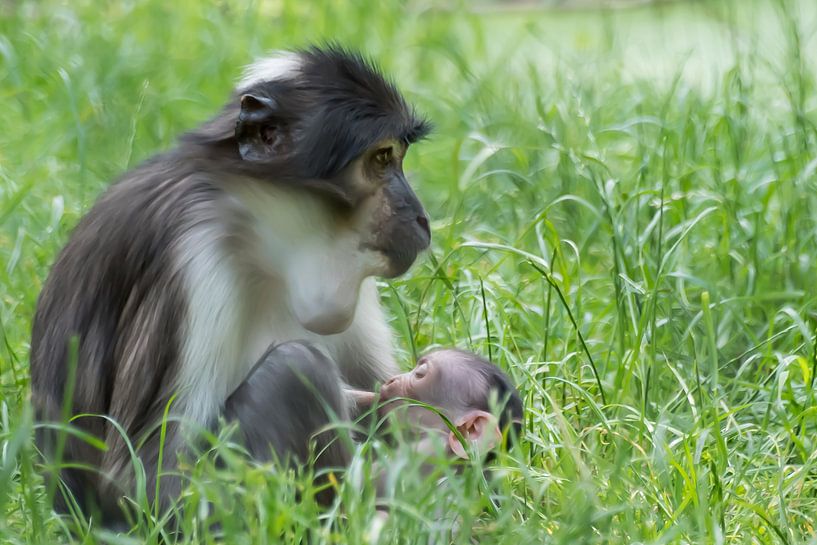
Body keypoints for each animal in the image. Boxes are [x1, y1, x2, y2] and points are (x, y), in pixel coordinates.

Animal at [29, 46, 430, 524]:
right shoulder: (195, 254)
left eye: (398, 157)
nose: (421, 218)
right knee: (294, 369)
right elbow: (150, 483)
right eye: (382, 159)